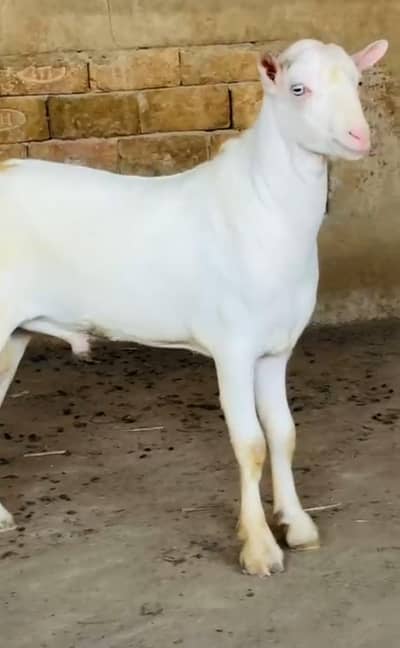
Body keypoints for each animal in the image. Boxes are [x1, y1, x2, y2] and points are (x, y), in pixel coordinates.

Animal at [0, 38, 388, 575]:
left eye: (357, 81)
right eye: (297, 88)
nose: (358, 136)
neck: (264, 209)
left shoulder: (276, 349)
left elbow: (283, 434)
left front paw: (296, 525)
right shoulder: (233, 347)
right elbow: (251, 444)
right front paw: (260, 549)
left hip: (13, 334)